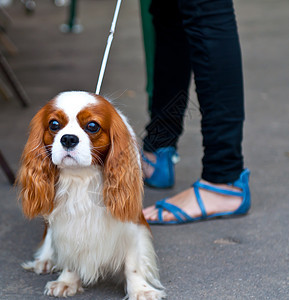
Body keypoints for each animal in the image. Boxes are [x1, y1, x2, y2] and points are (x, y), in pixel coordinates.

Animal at [18, 91, 165, 300]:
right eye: (54, 124)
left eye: (92, 126)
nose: (68, 139)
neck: (82, 176)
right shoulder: (67, 221)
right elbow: (69, 251)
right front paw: (67, 281)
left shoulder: (130, 220)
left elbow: (133, 263)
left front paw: (140, 289)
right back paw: (45, 260)